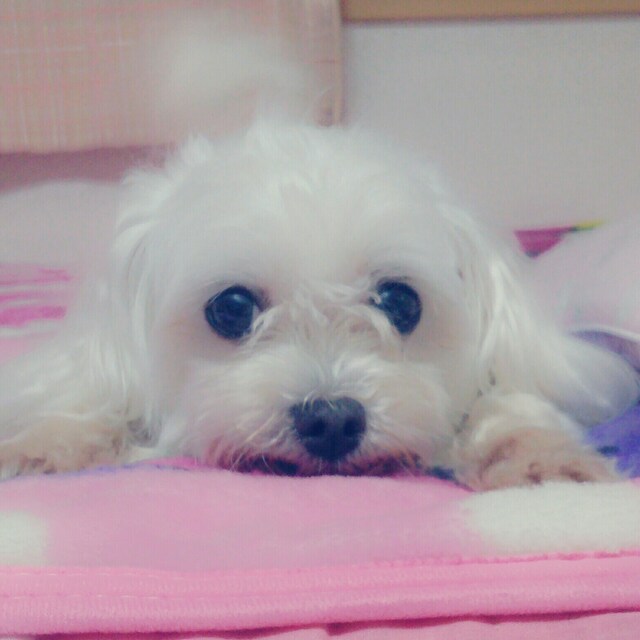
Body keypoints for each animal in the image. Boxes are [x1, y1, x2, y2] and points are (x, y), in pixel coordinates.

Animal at [0, 20, 638, 490]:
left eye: (401, 301)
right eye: (231, 309)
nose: (331, 419)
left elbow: (511, 404)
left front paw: (542, 459)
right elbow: (95, 402)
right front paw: (44, 445)